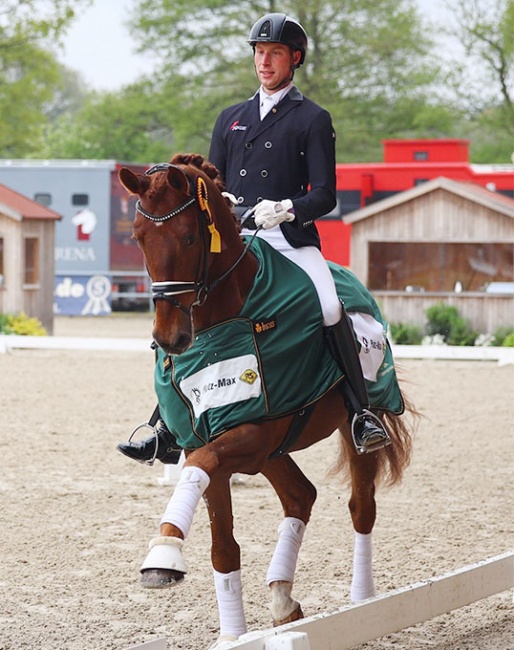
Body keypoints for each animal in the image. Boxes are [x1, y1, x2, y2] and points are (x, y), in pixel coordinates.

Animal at [119, 154, 412, 644]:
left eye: (189, 236)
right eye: (139, 238)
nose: (170, 339)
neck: (224, 322)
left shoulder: (248, 435)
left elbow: (200, 479)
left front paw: (164, 553)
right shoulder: (211, 439)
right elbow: (222, 546)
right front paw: (231, 634)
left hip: (342, 427)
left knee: (361, 508)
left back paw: (362, 602)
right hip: (271, 451)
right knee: (300, 497)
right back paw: (282, 597)